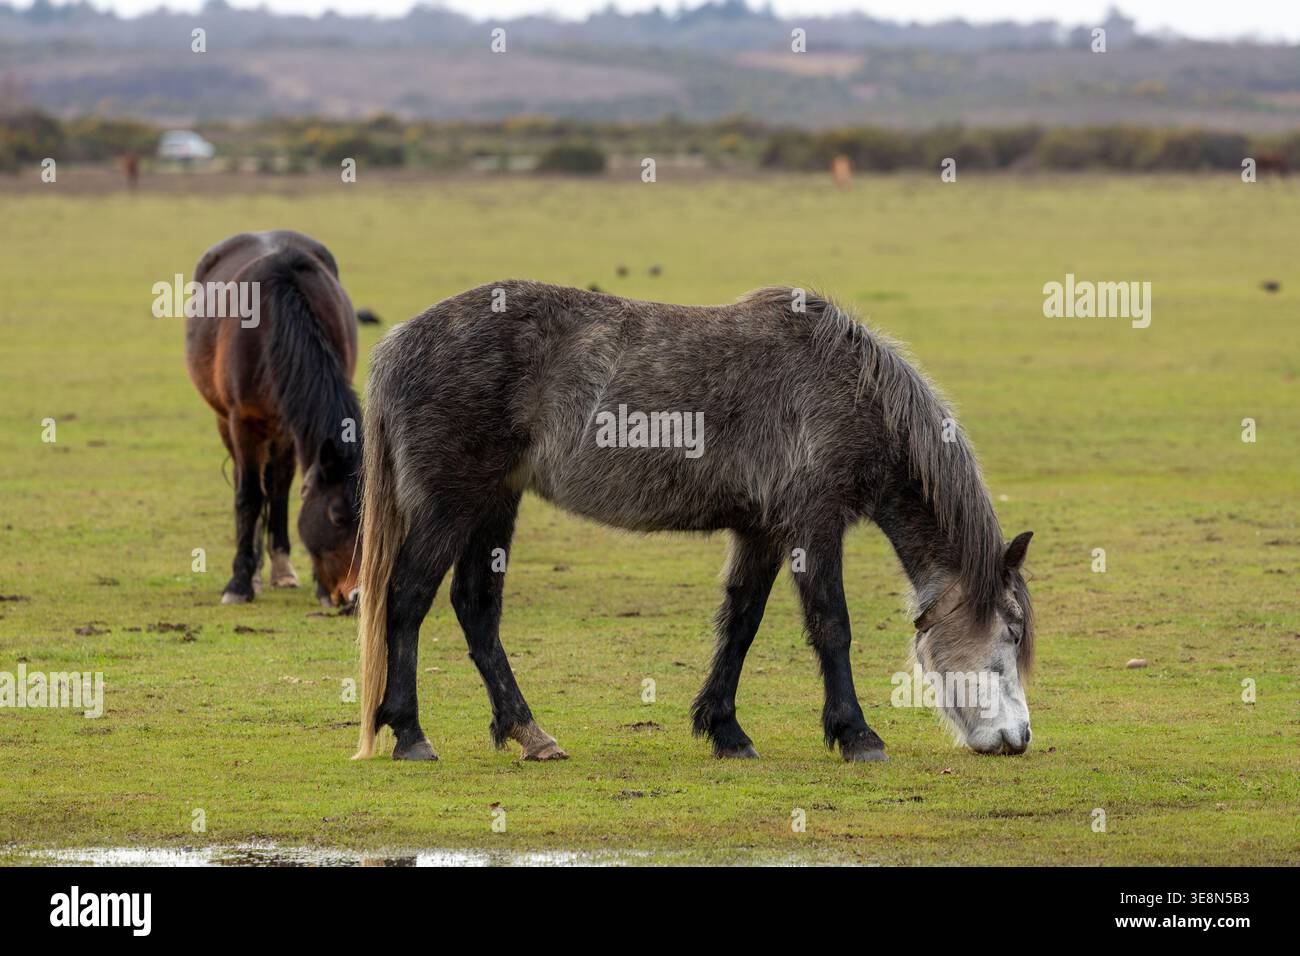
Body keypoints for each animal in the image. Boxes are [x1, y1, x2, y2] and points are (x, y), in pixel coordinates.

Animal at [185, 230, 363, 608]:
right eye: (336, 515)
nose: (354, 597)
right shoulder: (242, 423)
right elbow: (250, 496)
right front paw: (239, 582)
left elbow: (280, 490)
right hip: (230, 423)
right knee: (249, 483)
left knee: (279, 485)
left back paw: (281, 568)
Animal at [353, 281, 1036, 762]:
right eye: (1011, 630)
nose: (1020, 736)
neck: (847, 386)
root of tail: (397, 345)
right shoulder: (813, 525)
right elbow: (831, 627)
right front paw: (857, 735)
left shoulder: (762, 532)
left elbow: (740, 624)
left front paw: (725, 729)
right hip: (452, 504)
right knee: (406, 597)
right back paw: (410, 732)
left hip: (494, 502)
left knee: (476, 608)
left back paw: (530, 733)